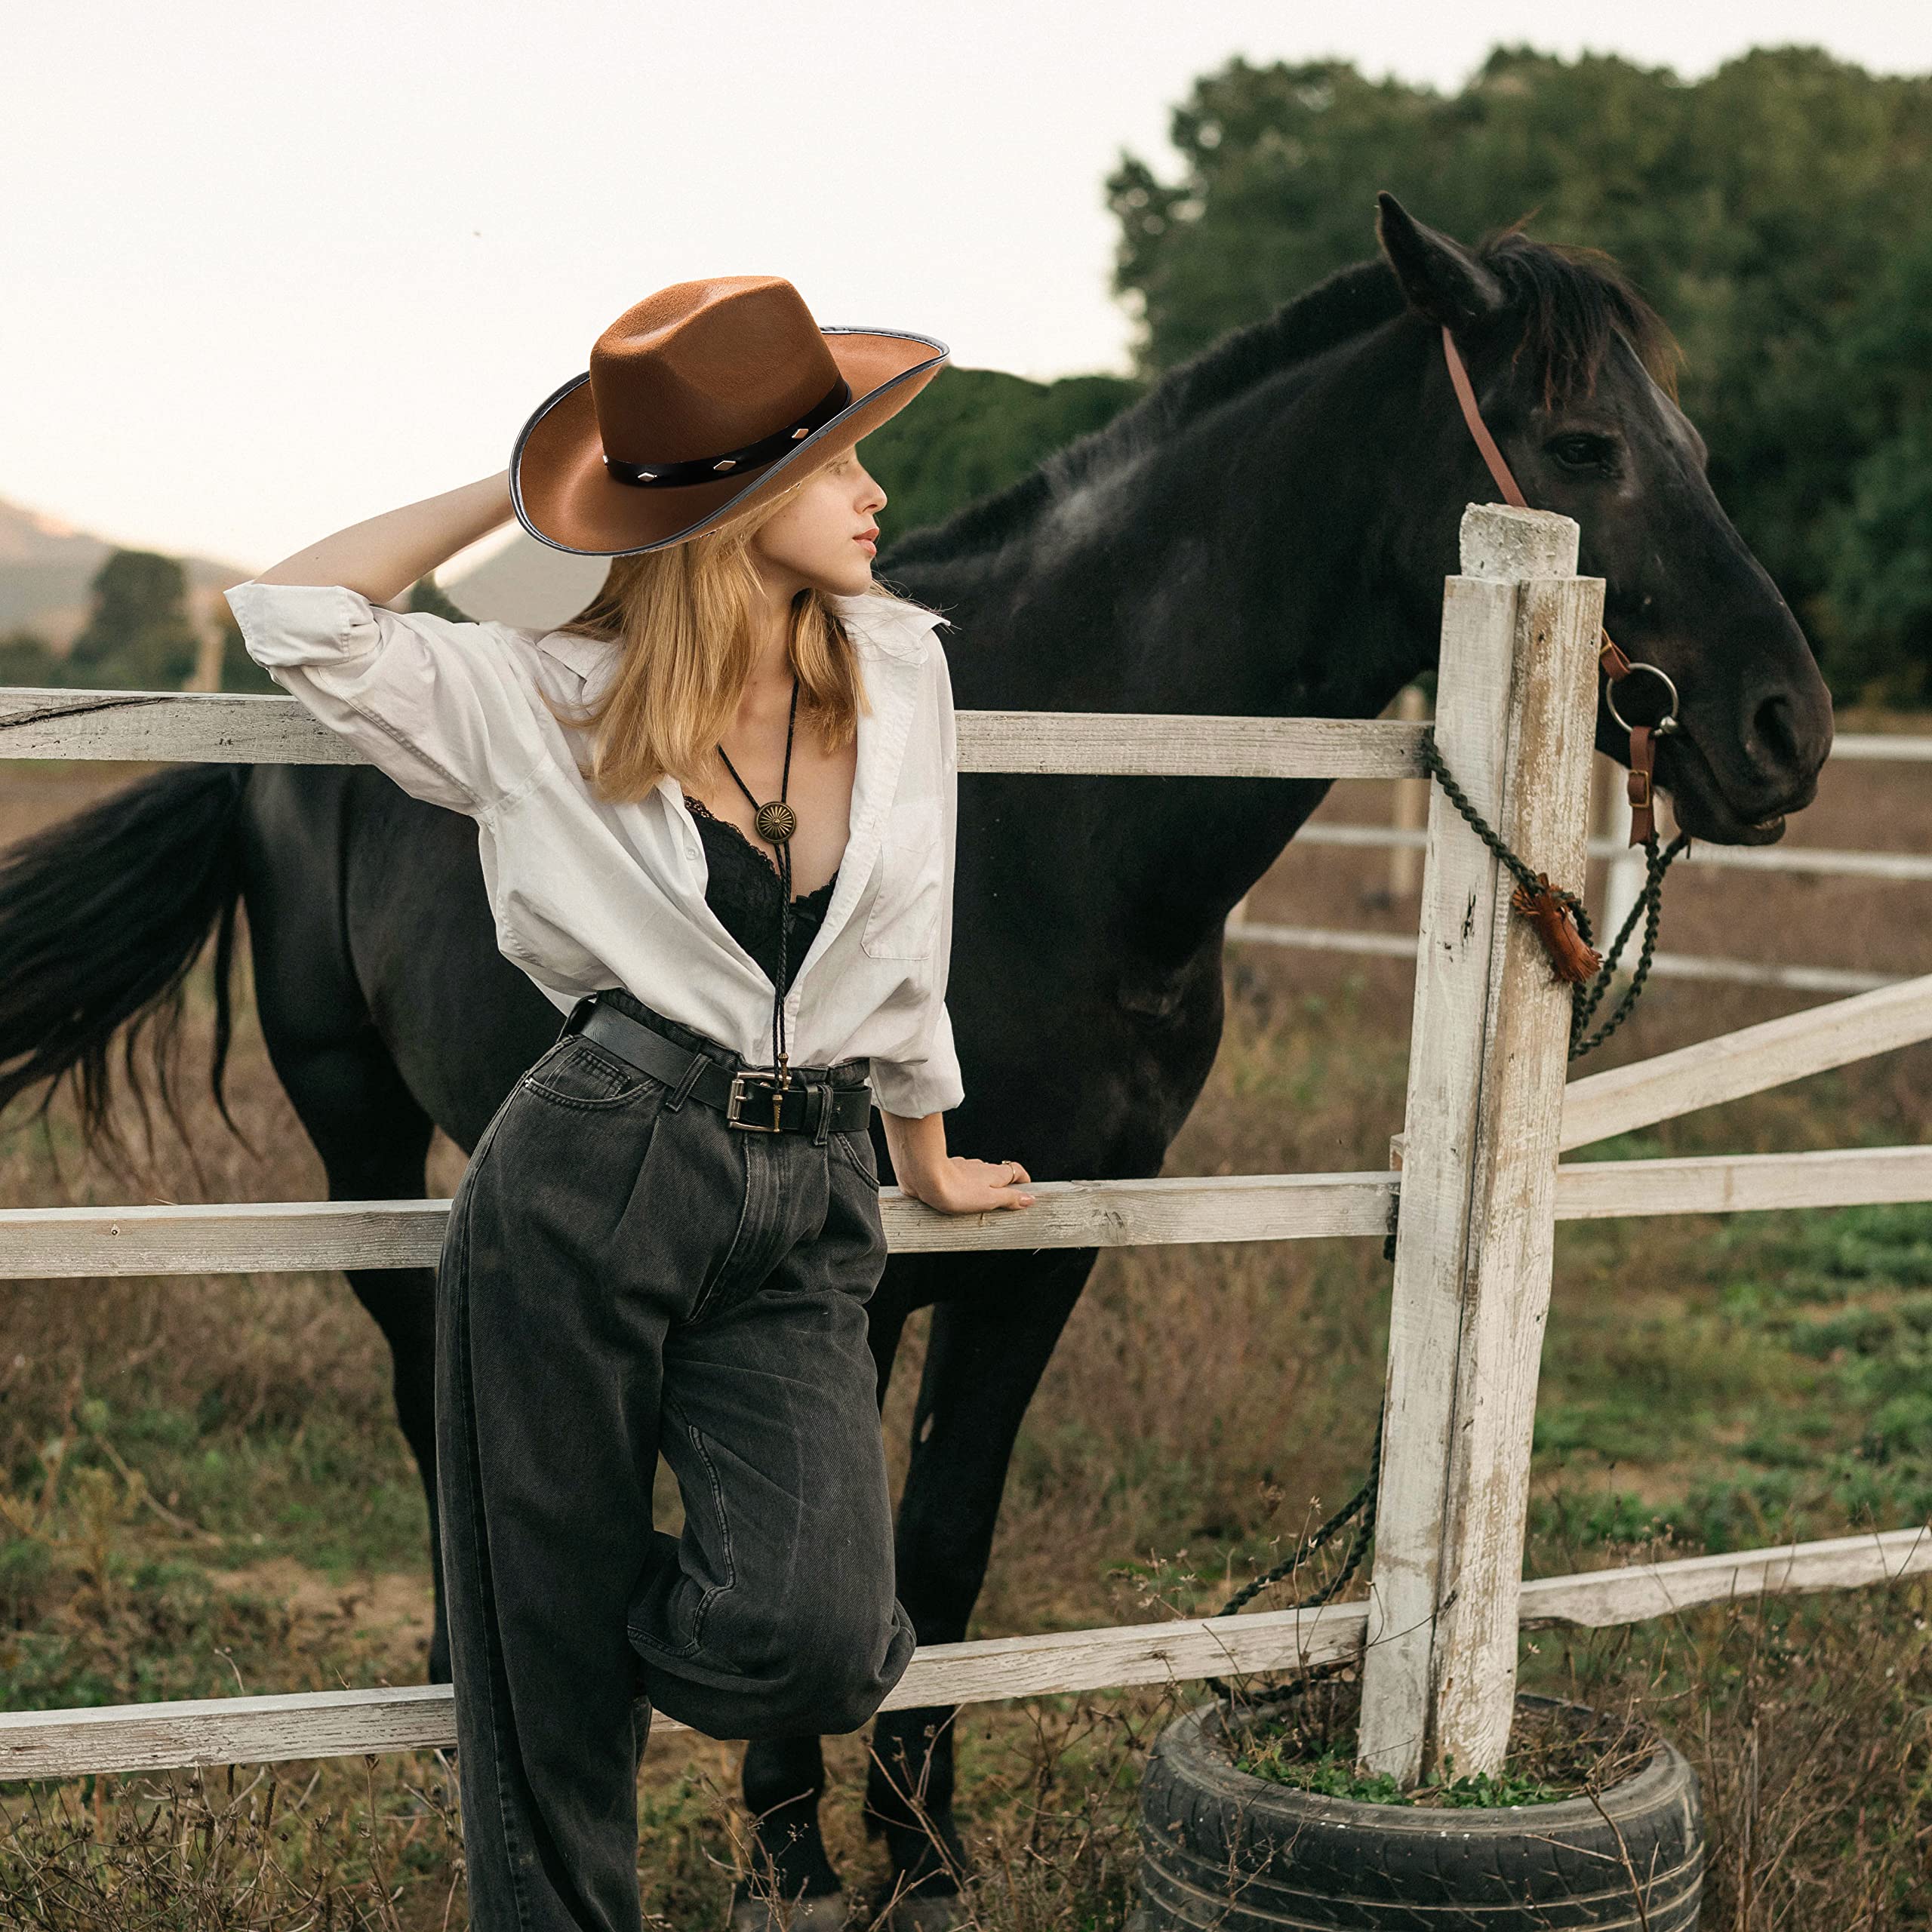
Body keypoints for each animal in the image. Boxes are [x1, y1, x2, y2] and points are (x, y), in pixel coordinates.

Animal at [0, 204, 1823, 1924]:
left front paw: (924, 1848)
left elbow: (942, 1544)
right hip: (355, 1134)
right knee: (418, 1393)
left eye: (1691, 442)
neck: (1068, 828)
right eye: (1579, 446)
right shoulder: (862, 1271)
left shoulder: (1045, 1240)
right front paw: (789, 1853)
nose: (1783, 729)